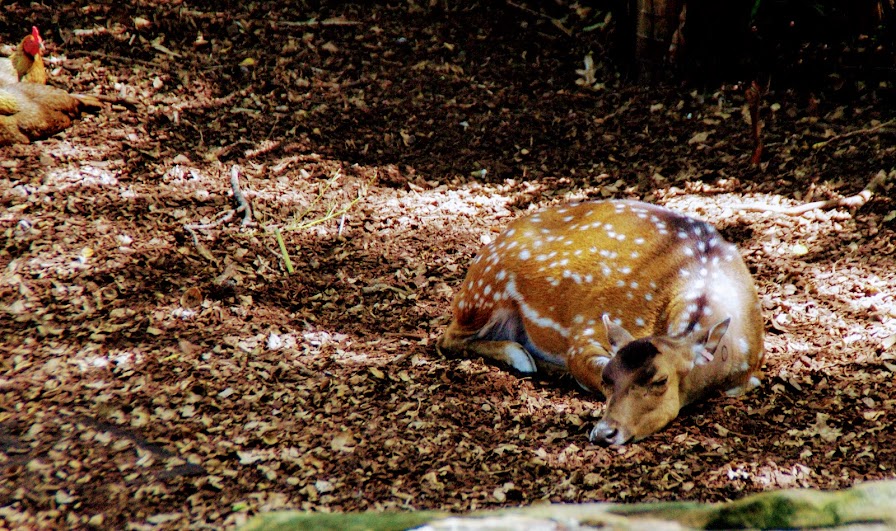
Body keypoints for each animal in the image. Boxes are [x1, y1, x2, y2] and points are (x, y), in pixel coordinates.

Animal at [437, 200, 765, 445]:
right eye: (608, 378)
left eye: (660, 380)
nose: (604, 433)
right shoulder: (587, 329)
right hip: (485, 292)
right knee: (448, 339)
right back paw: (523, 358)